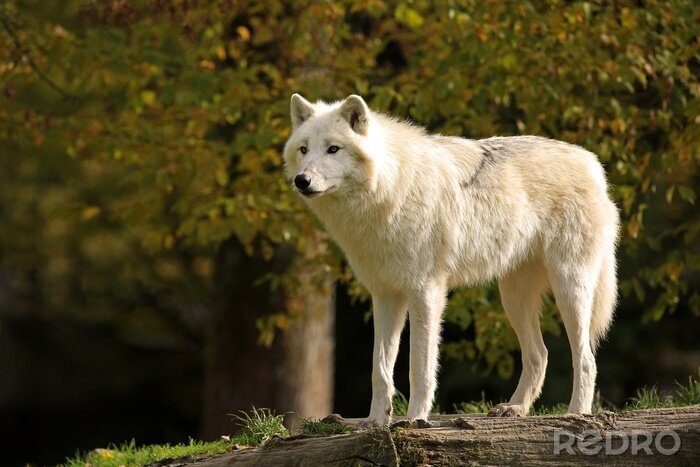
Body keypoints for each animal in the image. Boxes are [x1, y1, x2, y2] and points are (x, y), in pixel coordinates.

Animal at [283, 94, 619, 425]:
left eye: (333, 149)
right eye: (304, 149)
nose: (302, 180)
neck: (390, 189)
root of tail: (592, 163)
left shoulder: (426, 292)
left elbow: (418, 366)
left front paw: (414, 420)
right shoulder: (385, 295)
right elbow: (380, 369)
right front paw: (375, 423)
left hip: (569, 289)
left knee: (586, 358)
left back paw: (577, 413)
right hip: (513, 298)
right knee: (540, 354)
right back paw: (515, 409)